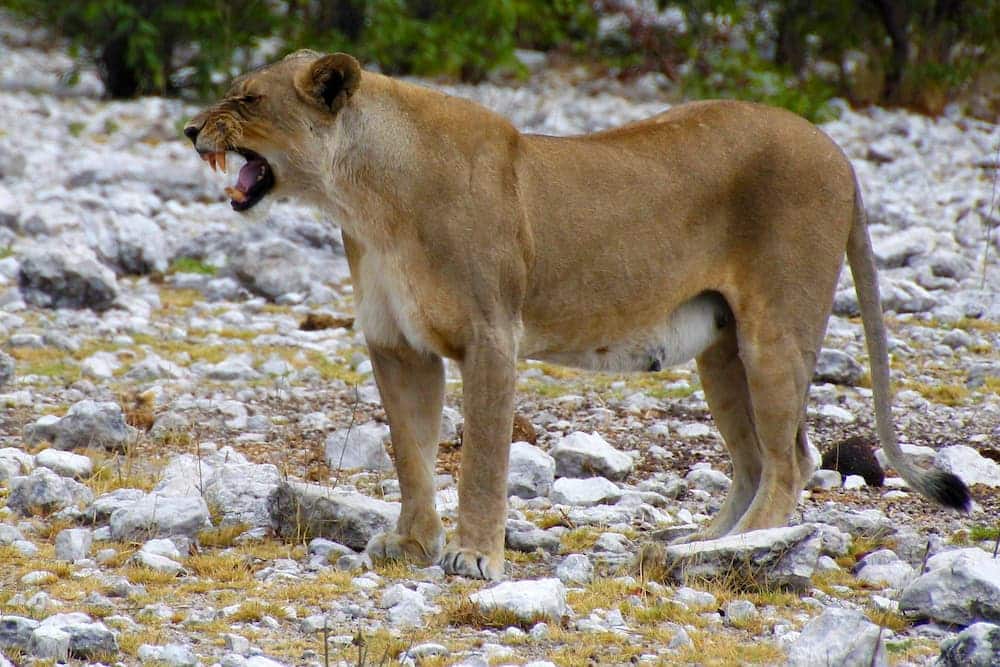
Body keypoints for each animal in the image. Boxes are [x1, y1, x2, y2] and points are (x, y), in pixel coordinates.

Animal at [185, 51, 971, 580]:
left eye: (247, 99)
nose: (192, 129)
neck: (364, 200)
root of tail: (837, 150)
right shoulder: (397, 344)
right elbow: (411, 453)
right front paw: (411, 544)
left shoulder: (490, 336)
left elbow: (482, 460)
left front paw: (474, 556)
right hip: (723, 349)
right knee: (752, 461)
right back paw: (694, 542)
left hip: (776, 330)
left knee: (789, 460)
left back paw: (736, 548)